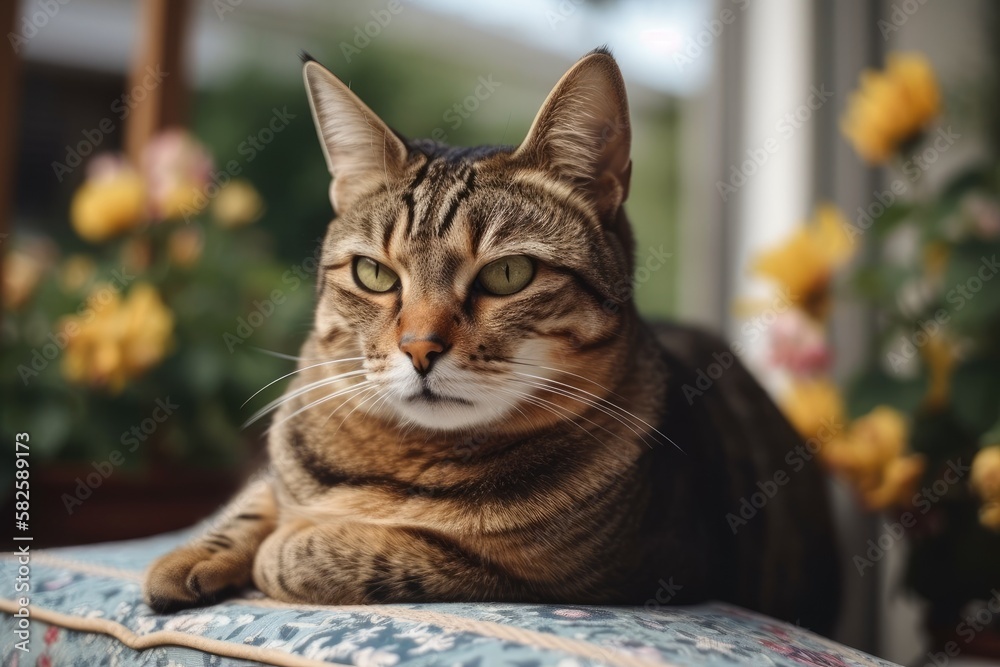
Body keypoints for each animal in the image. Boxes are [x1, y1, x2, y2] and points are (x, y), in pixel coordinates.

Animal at [143, 48, 844, 636]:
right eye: (375, 274)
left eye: (509, 275)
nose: (419, 349)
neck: (404, 458)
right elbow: (256, 497)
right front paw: (193, 554)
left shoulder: (601, 575)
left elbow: (354, 551)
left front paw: (291, 544)